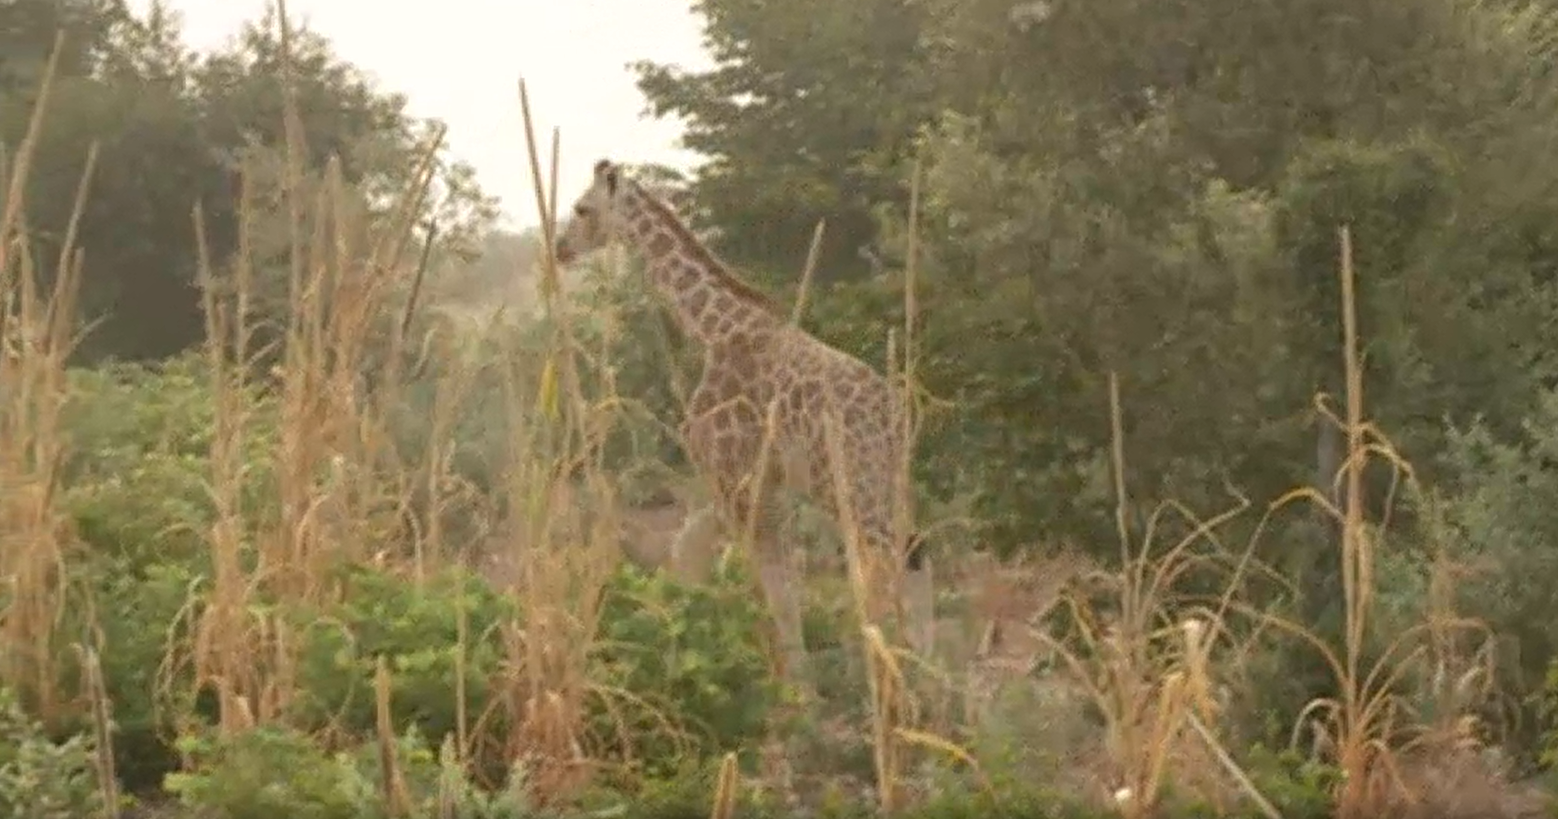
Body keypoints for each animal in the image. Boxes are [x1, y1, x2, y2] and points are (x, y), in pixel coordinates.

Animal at [554, 160, 928, 688]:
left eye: (583, 208)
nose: (560, 248)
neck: (715, 328)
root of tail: (894, 417)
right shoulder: (762, 482)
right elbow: (749, 571)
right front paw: (789, 679)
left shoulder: (730, 472)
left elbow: (758, 579)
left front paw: (786, 685)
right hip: (890, 485)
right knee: (909, 565)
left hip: (857, 487)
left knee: (885, 570)